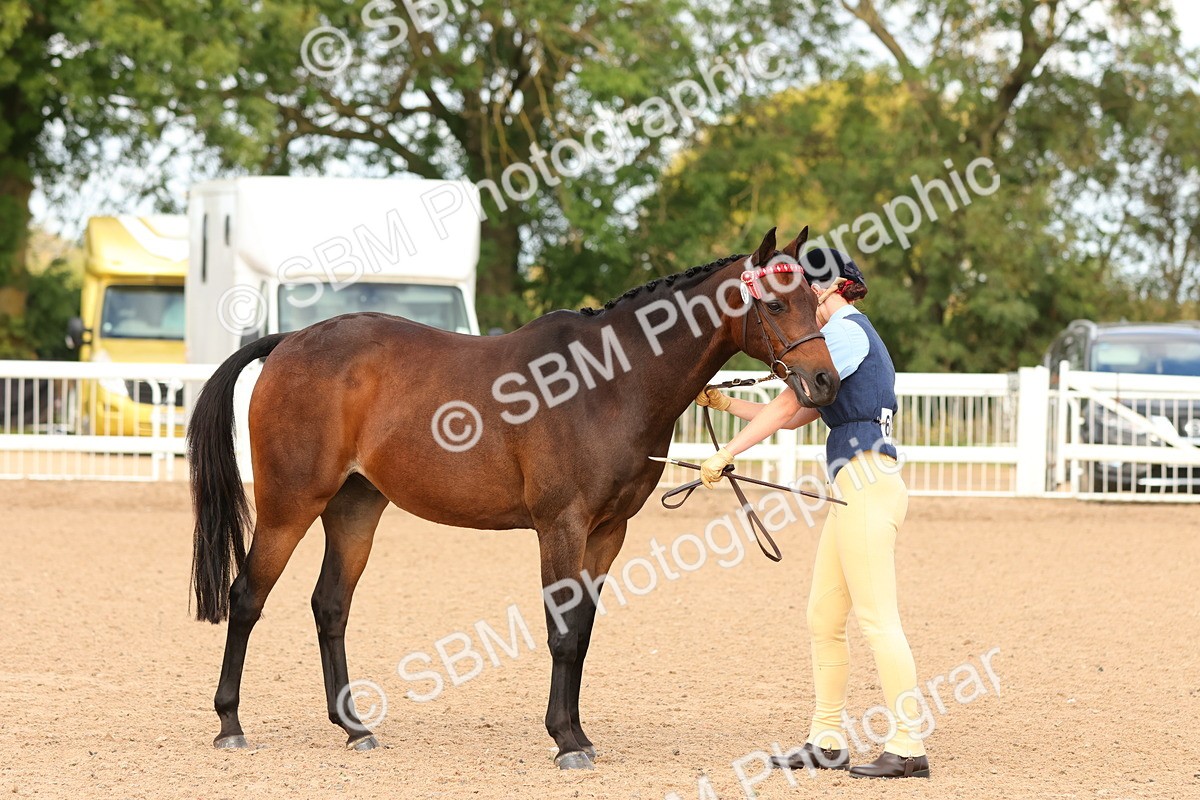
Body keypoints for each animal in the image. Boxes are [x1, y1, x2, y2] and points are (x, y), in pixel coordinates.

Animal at [188, 226, 839, 769]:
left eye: (813, 301)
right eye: (776, 304)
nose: (825, 382)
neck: (607, 383)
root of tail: (289, 342)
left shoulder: (608, 533)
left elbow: (583, 633)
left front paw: (578, 733)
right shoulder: (561, 526)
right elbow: (561, 632)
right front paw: (566, 741)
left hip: (354, 509)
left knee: (330, 606)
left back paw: (354, 728)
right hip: (290, 505)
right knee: (247, 597)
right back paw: (231, 725)